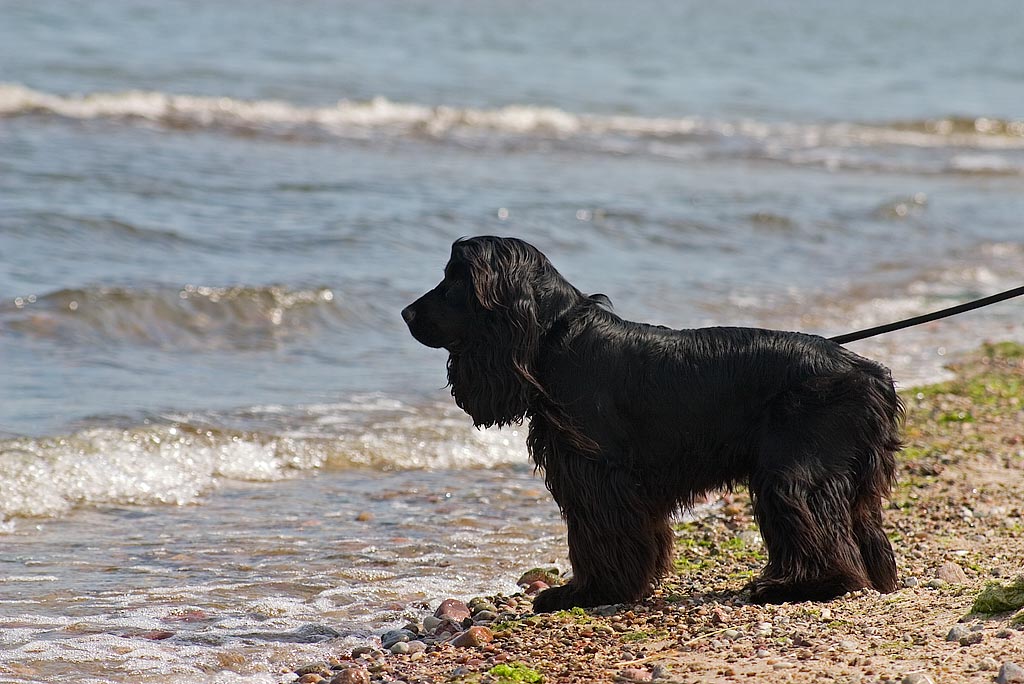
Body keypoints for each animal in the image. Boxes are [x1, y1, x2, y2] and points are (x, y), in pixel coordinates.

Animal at [403, 236, 901, 610]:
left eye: (454, 280)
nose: (405, 314)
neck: (556, 337)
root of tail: (867, 372)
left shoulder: (598, 472)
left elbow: (599, 535)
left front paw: (589, 593)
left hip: (793, 471)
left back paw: (799, 586)